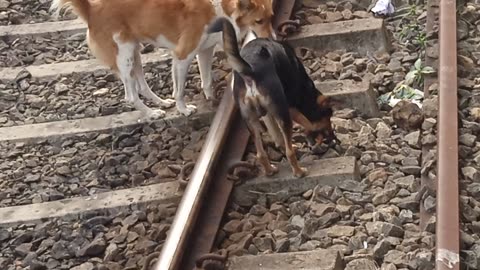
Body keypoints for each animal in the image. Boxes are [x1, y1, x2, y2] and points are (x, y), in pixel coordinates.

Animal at [50, 0, 276, 119]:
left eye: (271, 17)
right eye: (259, 21)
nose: (273, 40)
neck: (222, 8)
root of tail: (90, 8)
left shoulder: (205, 50)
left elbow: (207, 80)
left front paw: (213, 100)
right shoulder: (183, 56)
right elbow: (180, 90)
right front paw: (183, 110)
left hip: (134, 52)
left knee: (142, 86)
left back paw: (161, 102)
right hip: (125, 56)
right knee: (130, 95)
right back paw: (152, 113)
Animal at [207, 16, 338, 177]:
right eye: (328, 116)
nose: (333, 137)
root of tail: (250, 71)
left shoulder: (269, 113)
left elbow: (276, 133)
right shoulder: (289, 106)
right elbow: (305, 123)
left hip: (250, 118)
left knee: (260, 154)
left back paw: (270, 171)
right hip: (281, 113)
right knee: (289, 152)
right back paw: (299, 171)